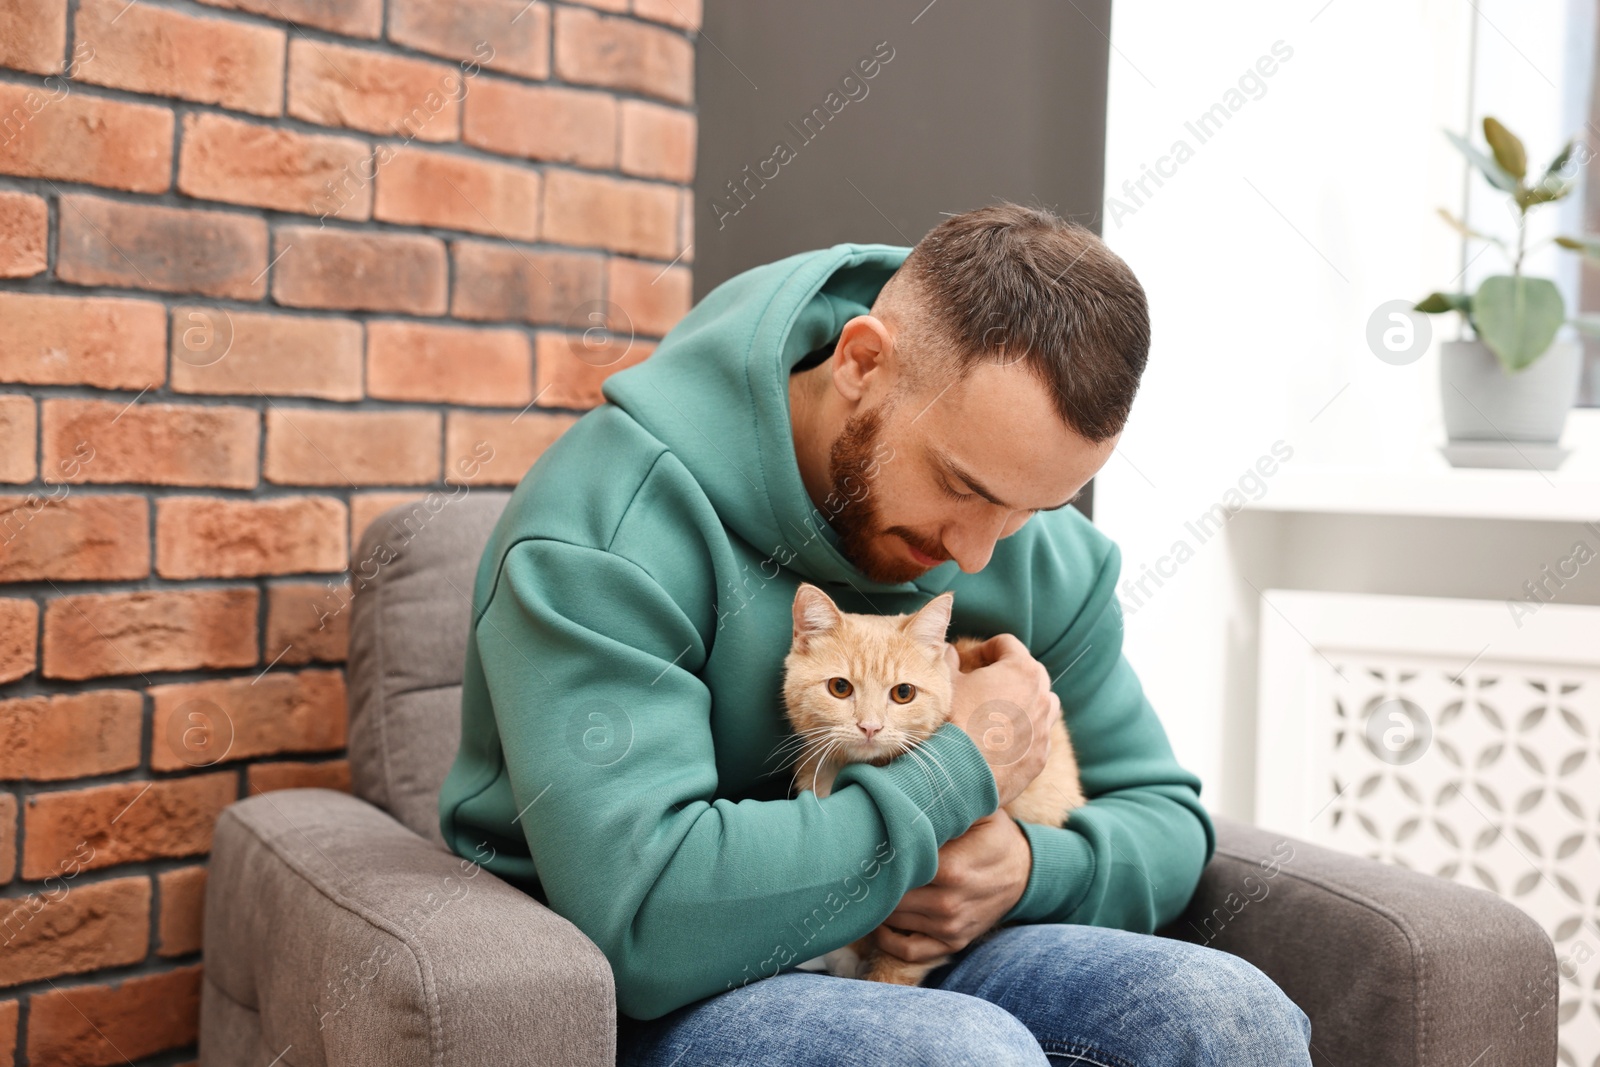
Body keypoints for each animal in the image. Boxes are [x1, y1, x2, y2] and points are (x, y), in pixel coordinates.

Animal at [777, 579, 1088, 991]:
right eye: (840, 687)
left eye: (903, 693)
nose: (870, 726)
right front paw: (849, 956)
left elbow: (899, 962)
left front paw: (881, 981)